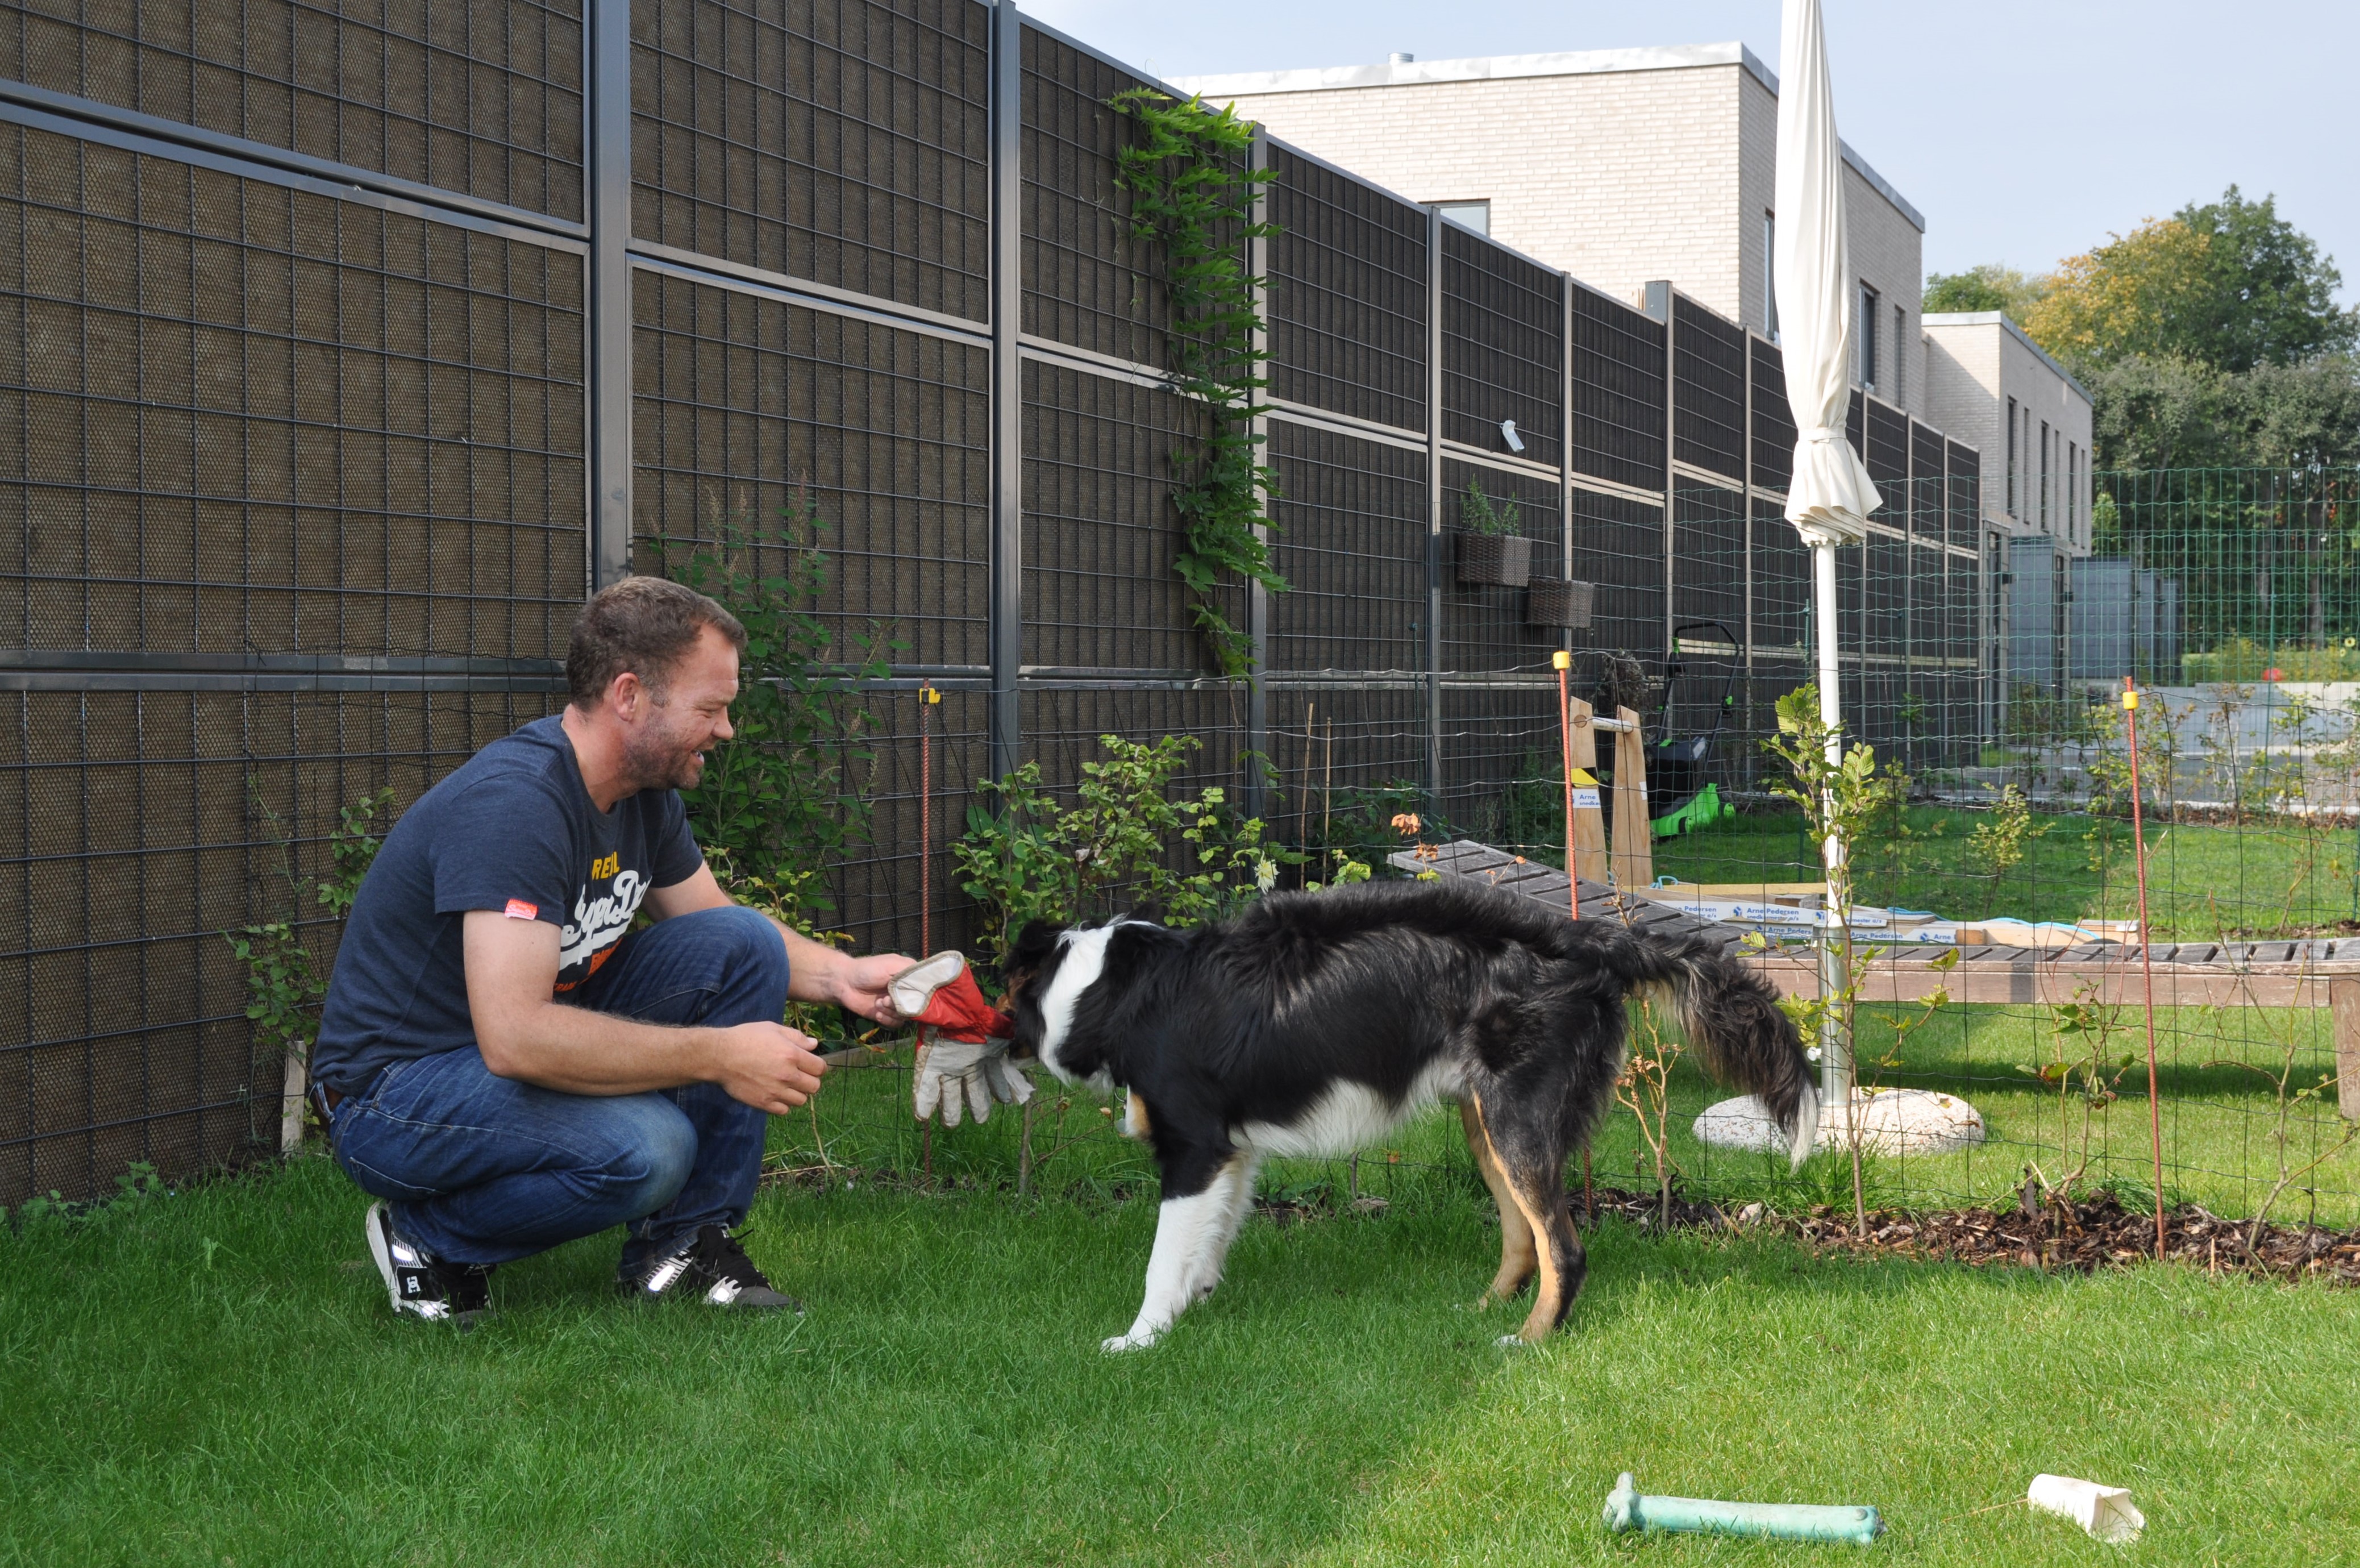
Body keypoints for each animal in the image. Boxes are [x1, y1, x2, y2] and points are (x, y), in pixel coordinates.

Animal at [1005, 883, 1812, 1350]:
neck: (1116, 988)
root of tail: (1590, 938)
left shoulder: (1193, 1148)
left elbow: (1161, 1259)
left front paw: (1141, 1337)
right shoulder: (1232, 1153)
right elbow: (1208, 1243)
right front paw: (1194, 1304)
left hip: (1518, 1119)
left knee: (1564, 1246)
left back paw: (1529, 1340)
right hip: (1484, 1121)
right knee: (1524, 1239)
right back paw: (1485, 1310)